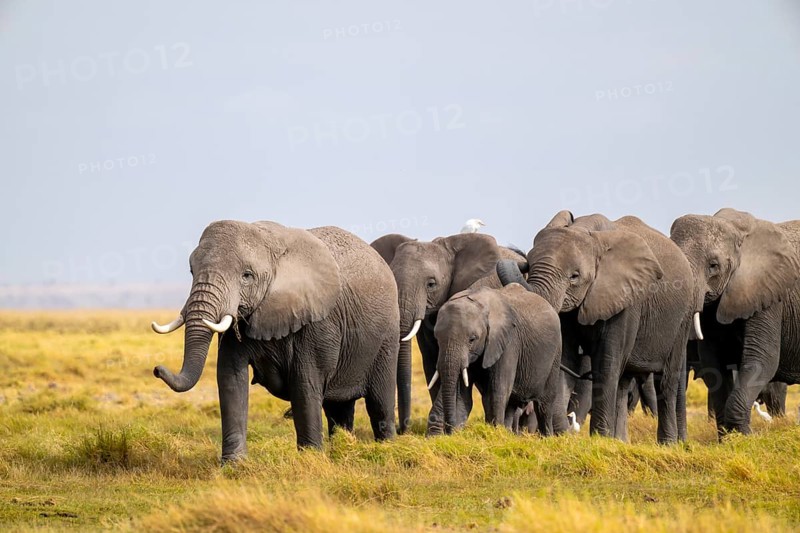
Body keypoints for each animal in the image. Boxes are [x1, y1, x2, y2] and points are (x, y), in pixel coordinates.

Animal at [150, 221, 399, 460]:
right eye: (191, 271)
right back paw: (342, 448)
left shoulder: (317, 320)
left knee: (379, 402)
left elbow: (305, 384)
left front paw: (310, 459)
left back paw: (386, 449)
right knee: (338, 410)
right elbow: (230, 378)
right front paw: (234, 464)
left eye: (247, 275)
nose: (157, 369)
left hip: (387, 336)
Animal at [432, 284, 563, 434]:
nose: (449, 430)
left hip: (556, 352)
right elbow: (462, 394)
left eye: (472, 339)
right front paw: (459, 434)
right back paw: (507, 432)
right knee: (511, 404)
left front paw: (494, 432)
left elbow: (498, 390)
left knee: (544, 405)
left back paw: (546, 436)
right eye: (437, 339)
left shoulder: (509, 342)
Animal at [497, 210, 694, 444]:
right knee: (623, 381)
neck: (587, 231)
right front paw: (569, 436)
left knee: (666, 380)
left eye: (574, 276)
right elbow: (567, 357)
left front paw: (599, 439)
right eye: (530, 264)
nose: (519, 261)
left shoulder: (627, 301)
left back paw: (667, 444)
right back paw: (620, 441)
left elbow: (607, 362)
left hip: (683, 316)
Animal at [671, 208, 800, 435]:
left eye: (713, 266)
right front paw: (730, 438)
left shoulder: (769, 295)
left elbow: (762, 358)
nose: (681, 441)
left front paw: (746, 437)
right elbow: (714, 364)